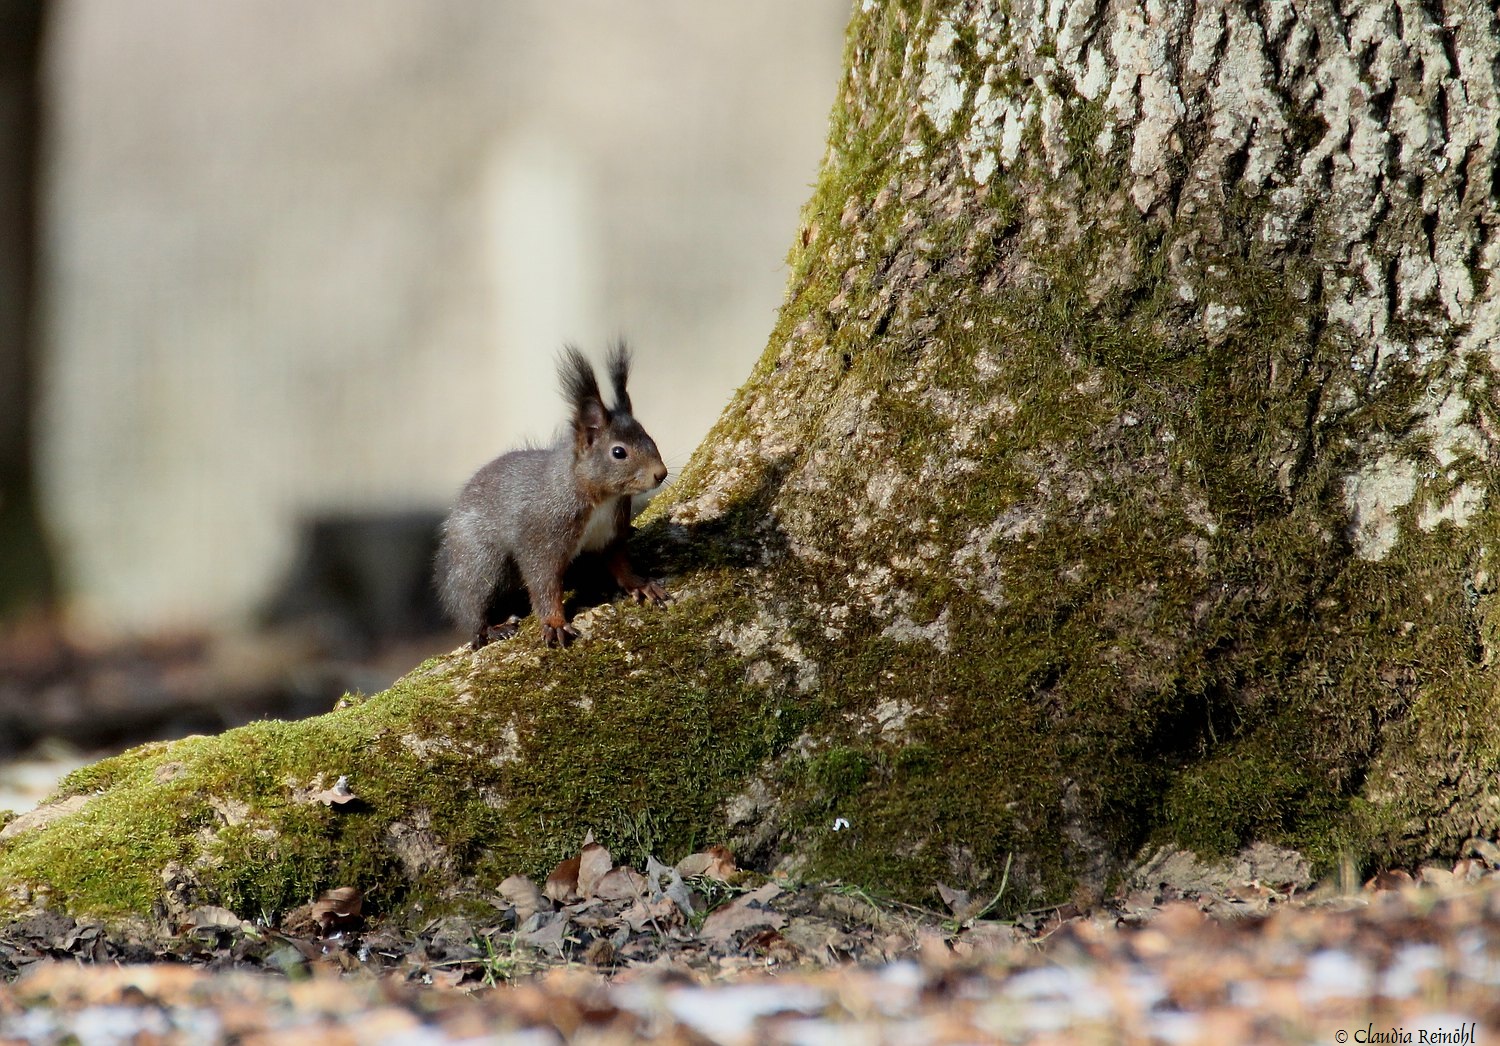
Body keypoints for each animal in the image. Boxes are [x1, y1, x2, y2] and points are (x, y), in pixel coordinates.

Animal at [434, 342, 669, 649]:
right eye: (619, 452)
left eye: (650, 437)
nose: (661, 474)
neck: (600, 499)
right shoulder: (543, 535)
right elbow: (543, 582)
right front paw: (555, 622)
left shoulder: (610, 532)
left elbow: (620, 562)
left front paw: (640, 584)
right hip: (481, 559)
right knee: (471, 601)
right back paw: (491, 627)